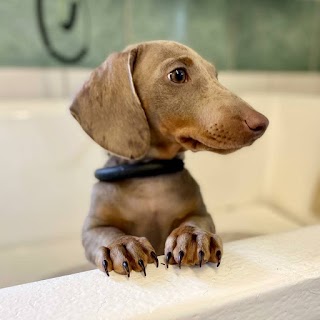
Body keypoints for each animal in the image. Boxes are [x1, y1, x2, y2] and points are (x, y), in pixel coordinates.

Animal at [70, 40, 268, 276]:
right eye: (178, 74)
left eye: (215, 76)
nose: (262, 123)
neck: (150, 178)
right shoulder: (93, 226)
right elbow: (104, 232)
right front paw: (122, 245)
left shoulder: (201, 213)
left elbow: (196, 221)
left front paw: (192, 236)